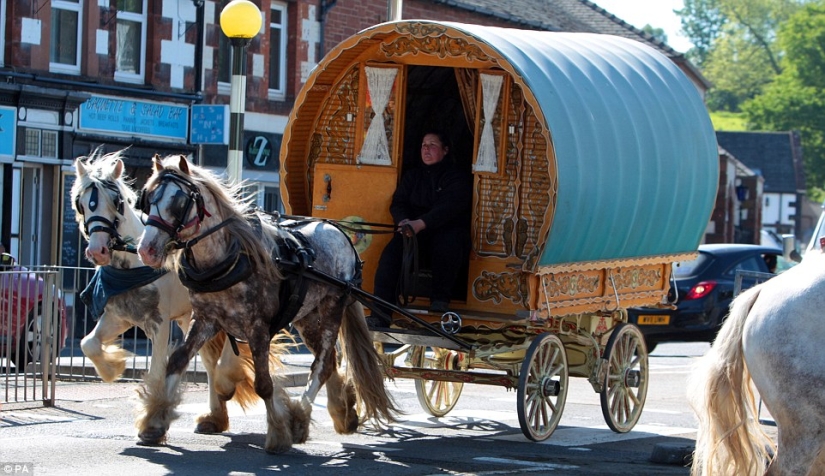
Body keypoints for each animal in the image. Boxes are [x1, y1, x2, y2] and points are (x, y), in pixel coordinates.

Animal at [72, 150, 273, 436]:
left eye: (117, 200)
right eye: (81, 203)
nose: (97, 250)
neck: (133, 264)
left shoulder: (159, 322)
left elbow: (157, 370)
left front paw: (151, 416)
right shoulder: (119, 317)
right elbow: (88, 343)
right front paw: (113, 368)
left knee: (224, 354)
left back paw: (226, 383)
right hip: (190, 318)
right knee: (208, 362)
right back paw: (215, 416)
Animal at [135, 154, 398, 453]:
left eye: (179, 201)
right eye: (148, 197)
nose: (146, 250)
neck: (227, 258)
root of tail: (340, 233)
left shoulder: (258, 328)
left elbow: (263, 384)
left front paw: (278, 433)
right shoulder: (205, 319)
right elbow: (178, 361)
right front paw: (154, 423)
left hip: (333, 306)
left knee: (320, 365)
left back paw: (299, 418)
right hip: (306, 316)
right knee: (329, 360)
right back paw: (341, 412)